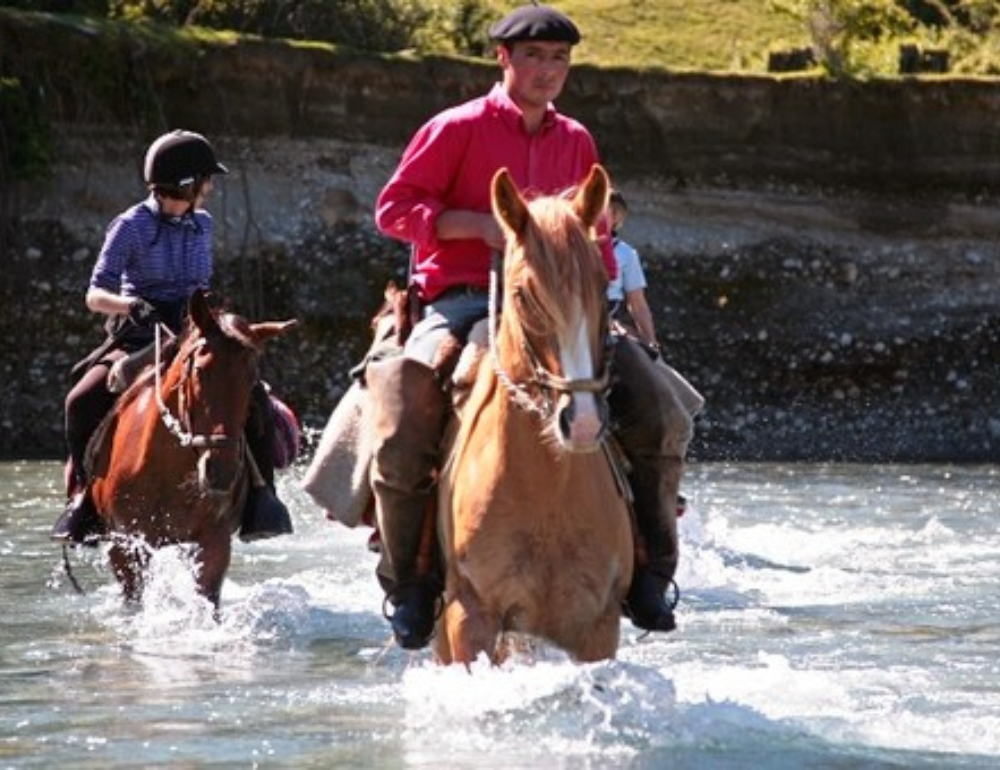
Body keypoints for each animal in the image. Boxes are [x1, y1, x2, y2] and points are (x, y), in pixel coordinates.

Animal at [89, 288, 294, 608]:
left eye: (251, 380)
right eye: (199, 370)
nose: (221, 471)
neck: (162, 469)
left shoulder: (213, 540)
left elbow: (208, 598)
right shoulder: (124, 546)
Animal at [438, 165, 632, 664]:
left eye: (603, 286)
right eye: (524, 295)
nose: (582, 422)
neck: (545, 489)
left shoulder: (598, 626)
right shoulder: (469, 615)